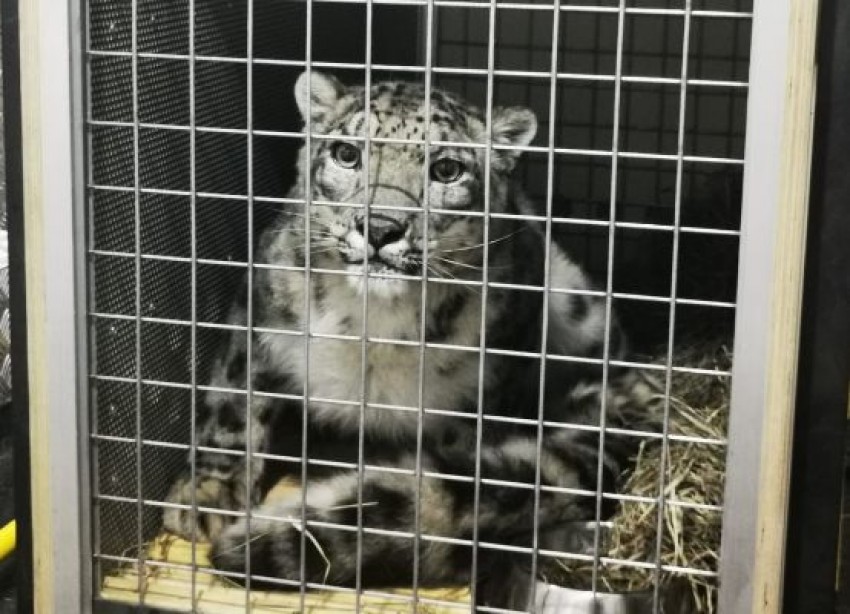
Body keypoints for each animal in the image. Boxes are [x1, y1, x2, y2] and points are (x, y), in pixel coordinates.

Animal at [162, 70, 661, 610]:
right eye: (347, 153)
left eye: (446, 169)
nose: (381, 228)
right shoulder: (261, 313)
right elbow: (232, 411)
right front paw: (204, 499)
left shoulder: (493, 379)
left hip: (583, 309)